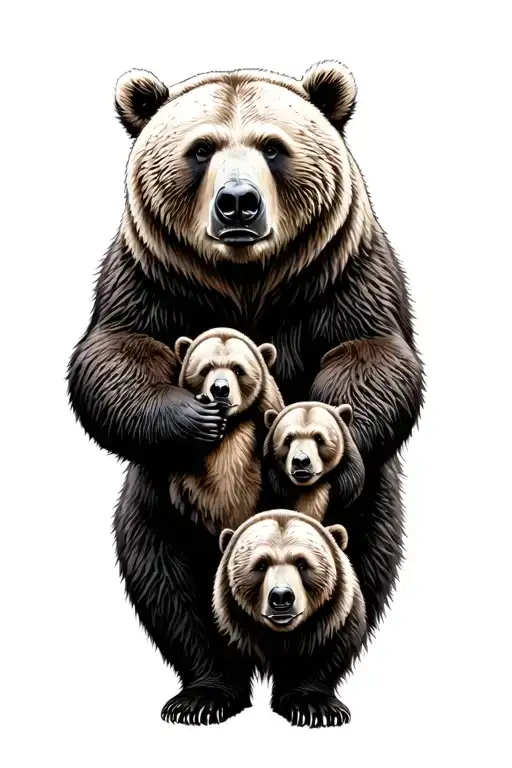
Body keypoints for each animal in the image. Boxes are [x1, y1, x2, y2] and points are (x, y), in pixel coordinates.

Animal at [213, 509, 366, 727]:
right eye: (261, 565)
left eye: (302, 563)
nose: (281, 596)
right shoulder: (230, 623)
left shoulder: (332, 620)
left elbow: (325, 653)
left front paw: (314, 706)